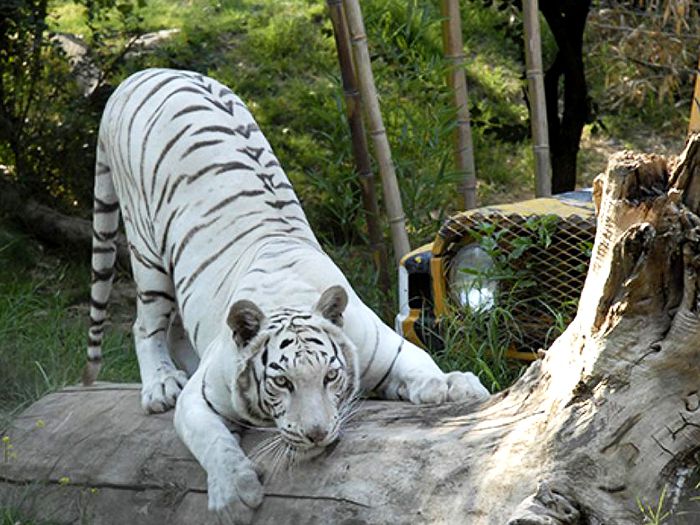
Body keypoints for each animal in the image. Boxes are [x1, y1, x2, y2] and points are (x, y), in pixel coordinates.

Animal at [87, 69, 490, 524]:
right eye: (282, 382)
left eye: (330, 376)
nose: (317, 434)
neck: (288, 298)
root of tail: (145, 73)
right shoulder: (201, 399)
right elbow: (212, 440)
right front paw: (234, 493)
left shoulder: (385, 348)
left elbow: (423, 367)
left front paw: (453, 385)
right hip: (147, 251)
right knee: (145, 325)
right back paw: (160, 385)